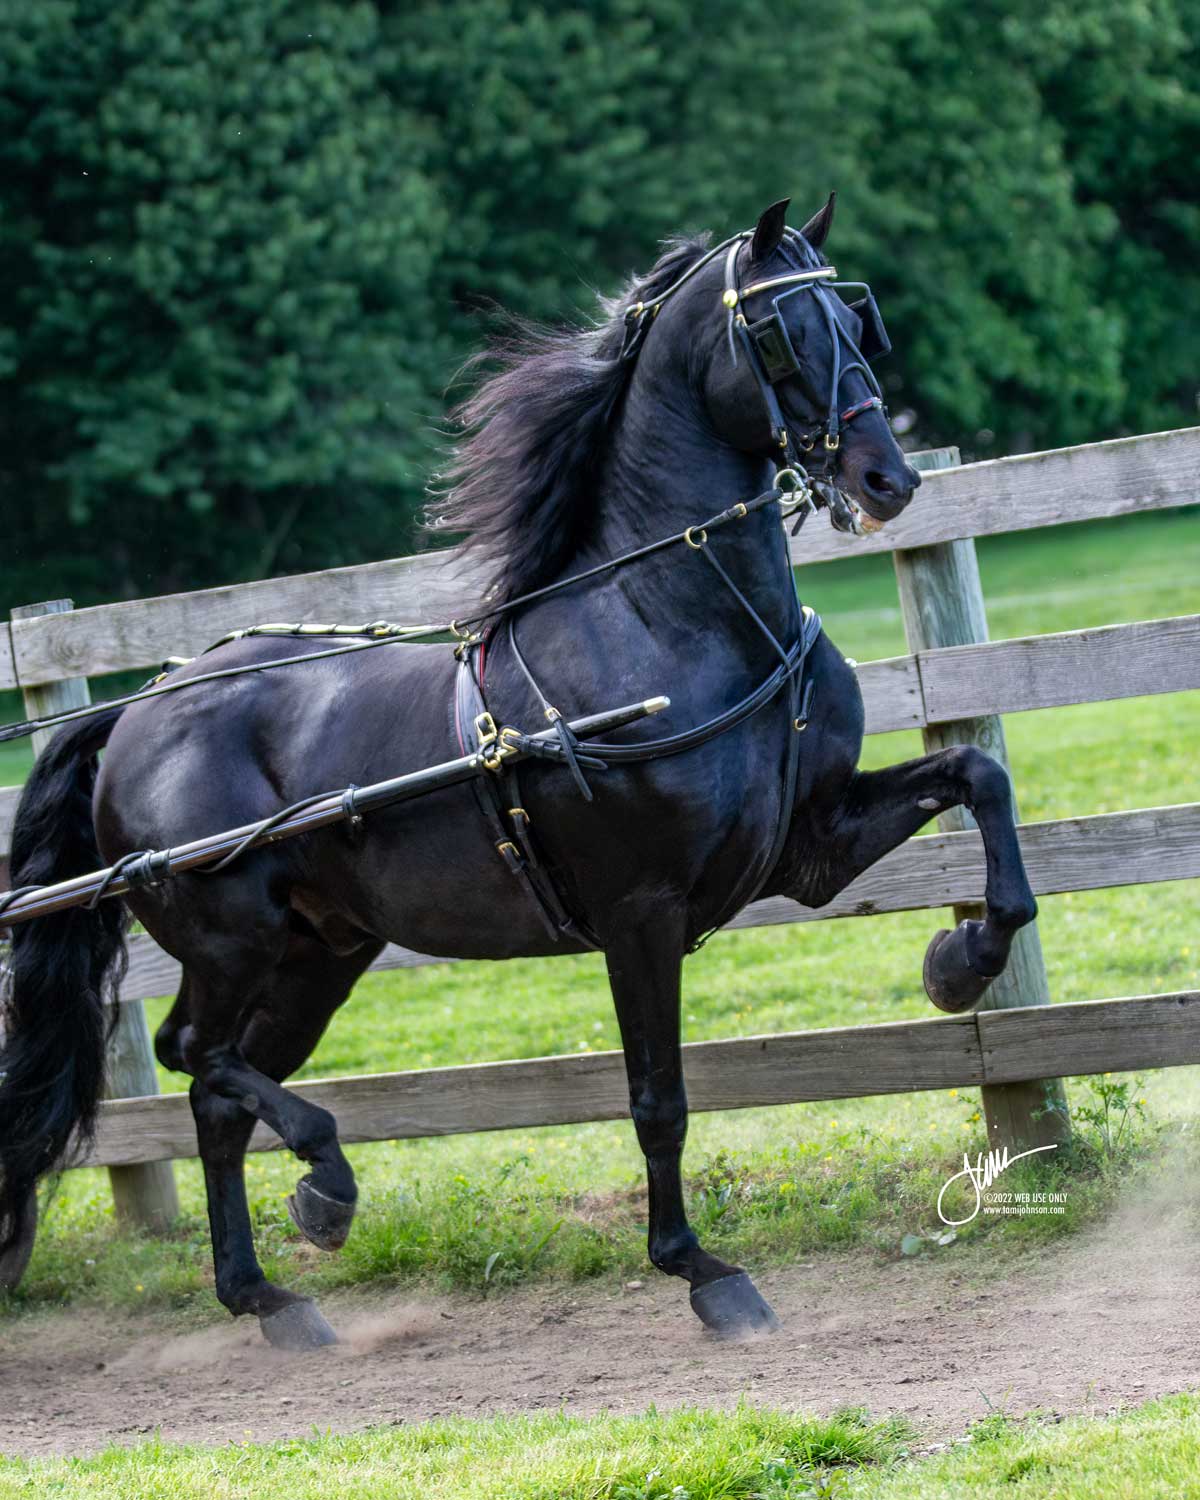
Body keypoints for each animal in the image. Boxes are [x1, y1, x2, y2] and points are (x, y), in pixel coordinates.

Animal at [0, 197, 1037, 1347]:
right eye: (776, 333)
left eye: (856, 322)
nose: (887, 480)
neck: (675, 623)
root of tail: (141, 709)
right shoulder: (642, 912)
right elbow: (658, 1100)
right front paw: (699, 1268)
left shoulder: (803, 851)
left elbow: (978, 781)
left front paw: (962, 961)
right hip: (232, 940)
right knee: (195, 1053)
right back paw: (324, 1181)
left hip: (319, 957)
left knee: (219, 1096)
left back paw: (267, 1294)